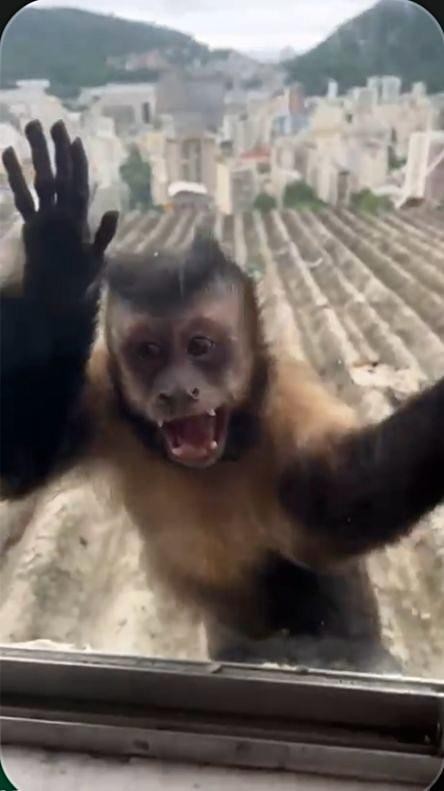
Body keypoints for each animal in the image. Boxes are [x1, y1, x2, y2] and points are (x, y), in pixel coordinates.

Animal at [1, 119, 443, 673]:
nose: (175, 390)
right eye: (148, 352)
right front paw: (57, 263)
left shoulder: (287, 399)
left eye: (200, 347)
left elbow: (334, 505)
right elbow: (20, 462)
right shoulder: (106, 394)